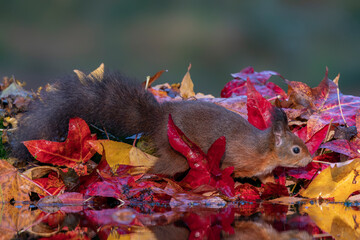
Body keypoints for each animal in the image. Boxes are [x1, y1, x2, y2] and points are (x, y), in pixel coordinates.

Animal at [11, 70, 312, 178]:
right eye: (296, 149)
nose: (310, 160)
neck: (264, 149)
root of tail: (158, 118)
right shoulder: (234, 158)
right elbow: (227, 172)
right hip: (175, 150)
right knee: (162, 167)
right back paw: (142, 173)